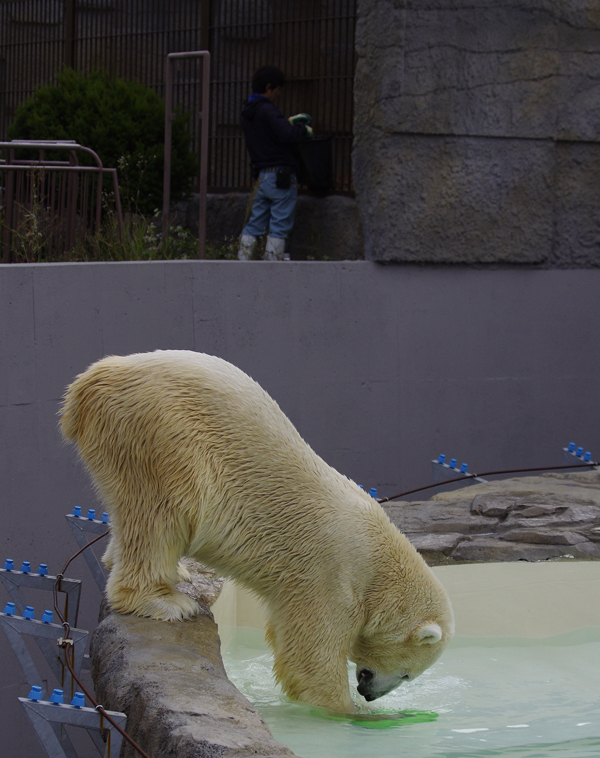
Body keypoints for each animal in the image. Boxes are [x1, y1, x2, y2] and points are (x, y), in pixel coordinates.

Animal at [62, 350, 454, 712]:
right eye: (408, 674)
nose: (369, 692)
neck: (380, 560)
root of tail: (93, 379)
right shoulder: (333, 577)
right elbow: (310, 656)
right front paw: (354, 711)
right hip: (163, 434)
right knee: (162, 514)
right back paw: (166, 600)